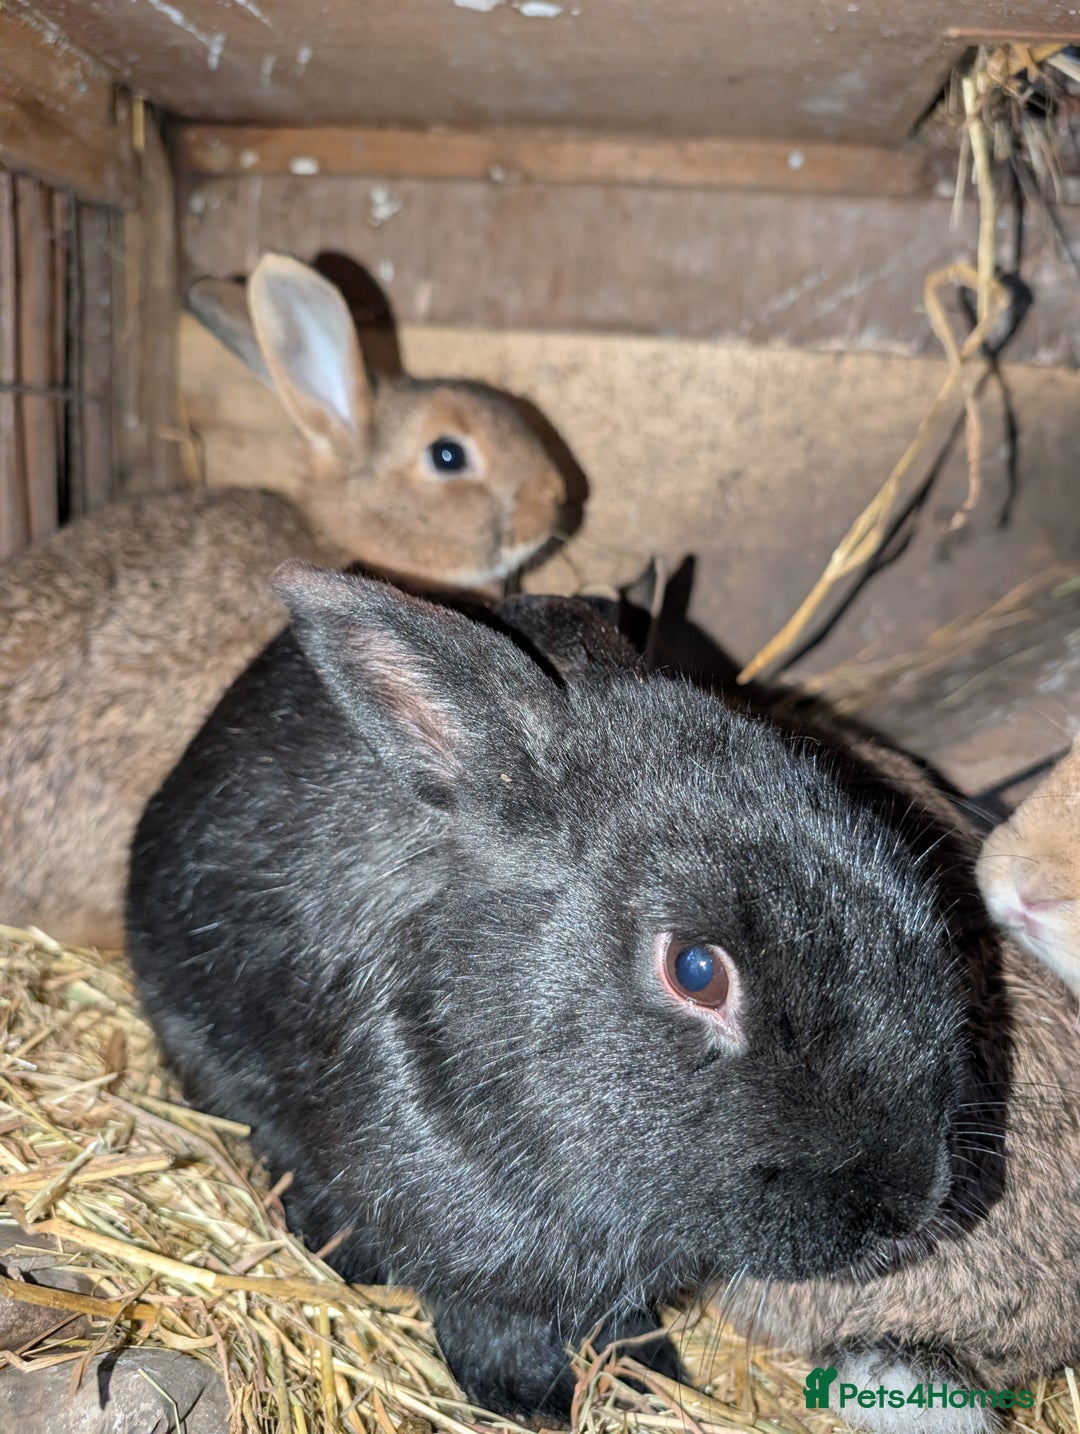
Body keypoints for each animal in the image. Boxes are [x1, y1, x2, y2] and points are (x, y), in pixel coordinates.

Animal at [127, 564, 988, 1421]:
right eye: (697, 971)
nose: (908, 1204)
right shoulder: (469, 1258)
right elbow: (495, 1326)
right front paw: (535, 1403)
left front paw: (647, 1376)